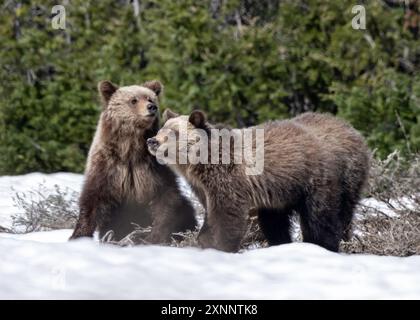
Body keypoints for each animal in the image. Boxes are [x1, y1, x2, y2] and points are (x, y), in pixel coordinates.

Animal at [70, 80, 197, 242]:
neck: (130, 148)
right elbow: (92, 199)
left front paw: (155, 236)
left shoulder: (154, 170)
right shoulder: (107, 167)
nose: (152, 107)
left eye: (150, 98)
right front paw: (78, 235)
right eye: (133, 100)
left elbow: (166, 201)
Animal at [146, 110, 370, 252]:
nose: (152, 140)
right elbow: (210, 212)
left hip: (321, 179)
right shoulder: (202, 187)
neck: (201, 164)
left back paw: (324, 244)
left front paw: (219, 244)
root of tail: (351, 130)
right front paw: (204, 239)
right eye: (161, 128)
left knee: (322, 216)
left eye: (173, 133)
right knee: (274, 222)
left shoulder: (228, 178)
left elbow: (227, 214)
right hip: (281, 193)